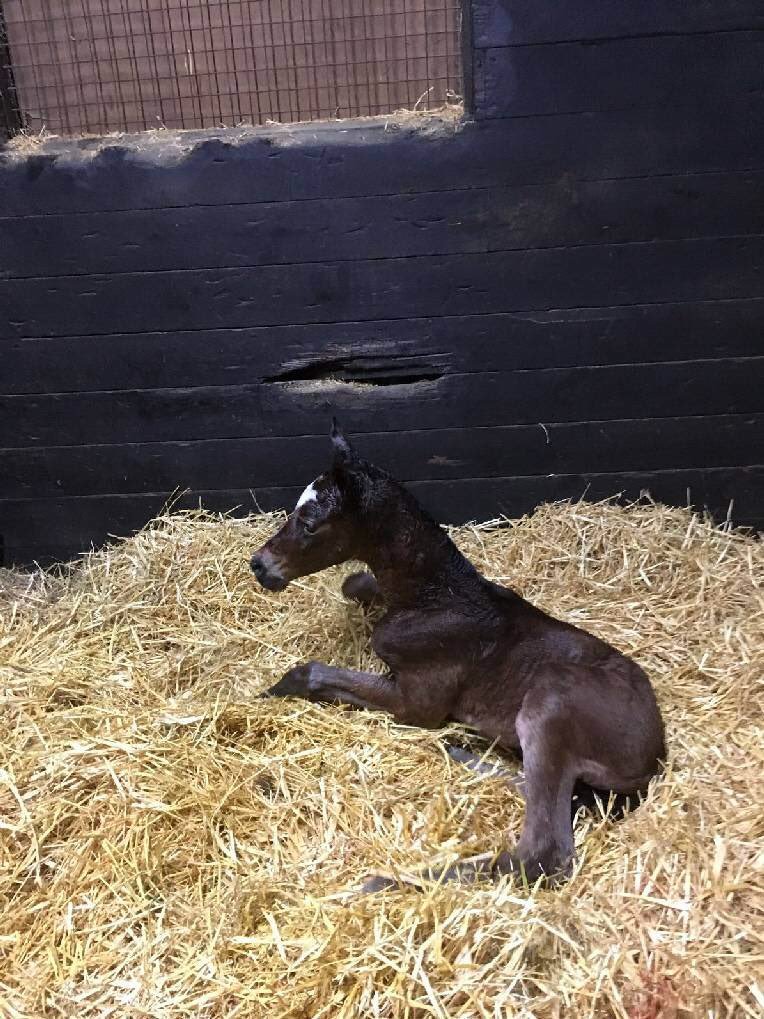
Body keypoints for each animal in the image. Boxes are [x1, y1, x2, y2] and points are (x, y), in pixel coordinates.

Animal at [250, 421, 665, 886]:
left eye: (310, 522)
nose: (259, 565)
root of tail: (653, 758)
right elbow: (353, 582)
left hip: (550, 704)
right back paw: (459, 751)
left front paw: (265, 693)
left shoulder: (417, 703)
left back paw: (390, 881)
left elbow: (312, 674)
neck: (435, 597)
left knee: (540, 854)